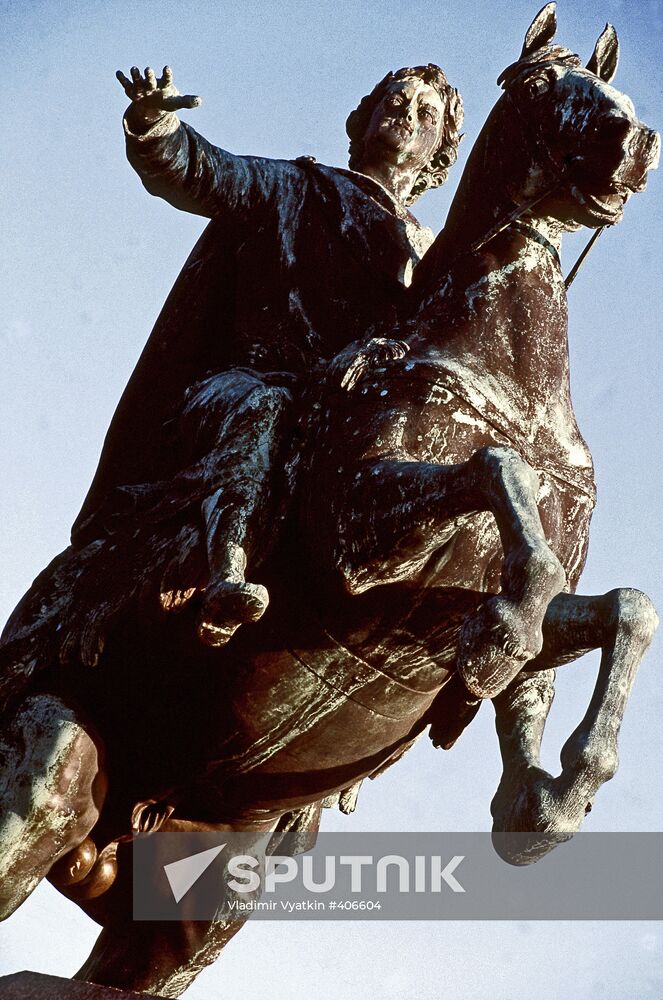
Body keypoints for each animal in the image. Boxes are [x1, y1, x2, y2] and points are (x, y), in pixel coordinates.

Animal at [0, 3, 660, 996]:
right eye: (546, 83)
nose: (637, 139)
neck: (508, 378)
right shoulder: (360, 537)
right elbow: (498, 482)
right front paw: (500, 638)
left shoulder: (451, 599)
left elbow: (622, 609)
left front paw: (551, 793)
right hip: (41, 775)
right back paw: (230, 594)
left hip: (203, 894)